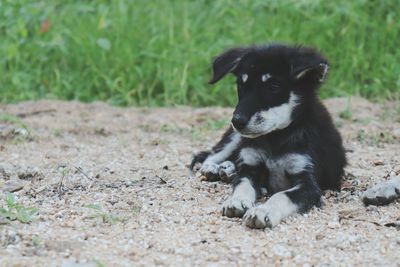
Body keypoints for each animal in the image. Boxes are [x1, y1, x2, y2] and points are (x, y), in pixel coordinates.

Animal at [191, 44, 346, 230]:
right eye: (241, 85)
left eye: (274, 86)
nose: (237, 121)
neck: (276, 138)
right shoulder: (250, 168)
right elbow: (242, 185)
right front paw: (237, 201)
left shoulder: (308, 182)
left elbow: (281, 196)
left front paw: (263, 211)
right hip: (234, 137)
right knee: (213, 154)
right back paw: (214, 168)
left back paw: (228, 170)